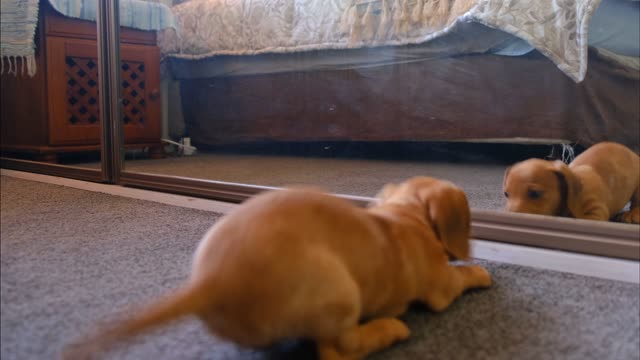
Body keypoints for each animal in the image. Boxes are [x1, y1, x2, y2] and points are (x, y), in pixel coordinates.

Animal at [63, 176, 490, 360]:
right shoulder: (441, 286)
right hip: (339, 291)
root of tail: (211, 281)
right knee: (338, 350)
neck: (405, 216)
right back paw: (389, 330)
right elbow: (460, 275)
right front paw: (480, 272)